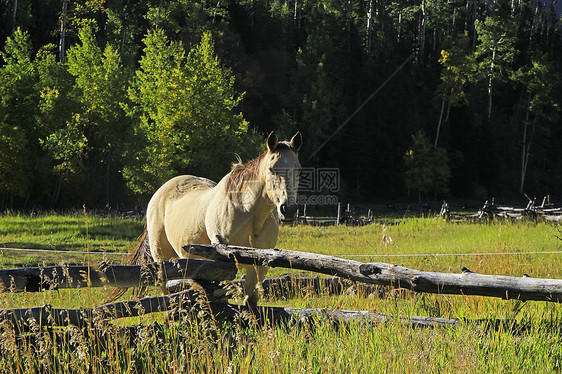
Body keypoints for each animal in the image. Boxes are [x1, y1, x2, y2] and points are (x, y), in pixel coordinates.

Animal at [122, 133, 300, 306]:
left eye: (298, 169)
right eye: (271, 169)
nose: (288, 209)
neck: (250, 214)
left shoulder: (259, 264)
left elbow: (251, 301)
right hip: (161, 258)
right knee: (166, 294)